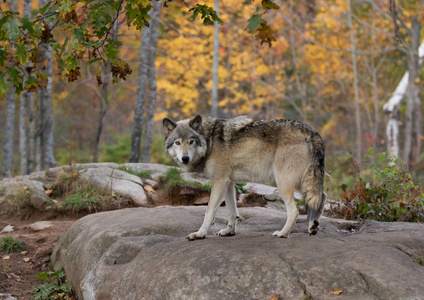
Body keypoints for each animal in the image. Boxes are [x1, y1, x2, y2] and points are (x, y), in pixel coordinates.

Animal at [163, 116, 328, 240]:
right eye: (177, 143)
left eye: (191, 141)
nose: (185, 158)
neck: (209, 141)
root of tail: (314, 133)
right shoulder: (228, 183)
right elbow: (232, 211)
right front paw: (229, 231)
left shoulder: (219, 181)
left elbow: (209, 211)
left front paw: (199, 234)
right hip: (300, 182)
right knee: (322, 196)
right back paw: (313, 227)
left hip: (283, 183)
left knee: (295, 211)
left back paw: (283, 233)